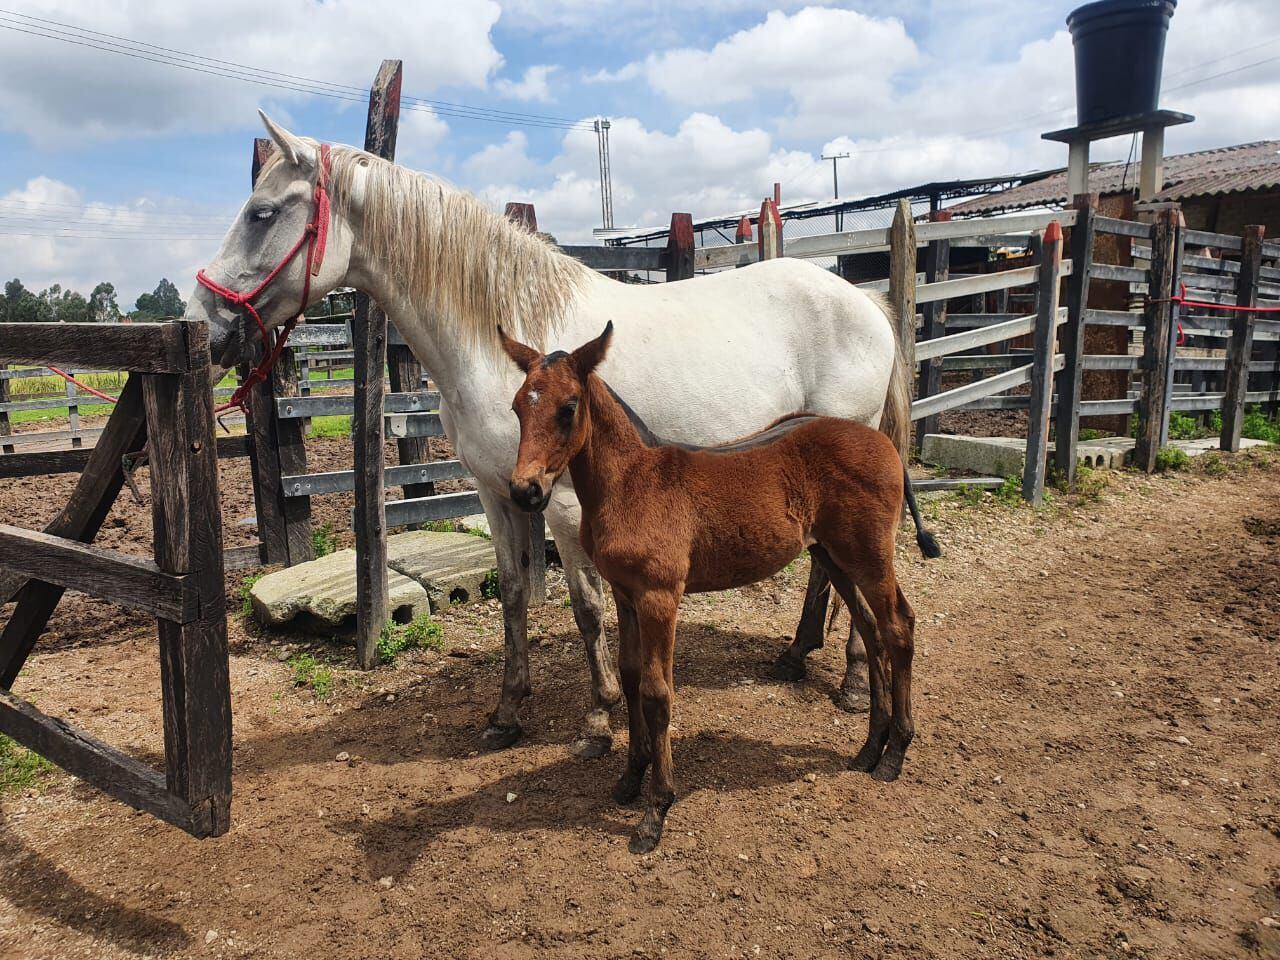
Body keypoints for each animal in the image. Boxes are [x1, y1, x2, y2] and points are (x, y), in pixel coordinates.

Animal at [186, 114, 911, 757]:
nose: (204, 327)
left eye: (261, 213)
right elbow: (513, 596)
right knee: (824, 568)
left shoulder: (562, 503)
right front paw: (508, 712)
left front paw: (599, 718)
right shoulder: (497, 493)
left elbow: (587, 606)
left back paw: (852, 681)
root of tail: (865, 302)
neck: (504, 344)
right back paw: (796, 655)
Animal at [501, 325, 942, 855]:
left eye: (568, 408)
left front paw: (656, 811)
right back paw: (869, 749)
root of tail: (885, 443)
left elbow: (656, 692)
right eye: (517, 406)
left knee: (898, 627)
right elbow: (630, 677)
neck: (631, 483)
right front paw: (629, 780)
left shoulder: (659, 597)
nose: (525, 490)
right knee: (873, 632)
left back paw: (895, 753)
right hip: (833, 556)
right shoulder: (627, 595)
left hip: (868, 555)